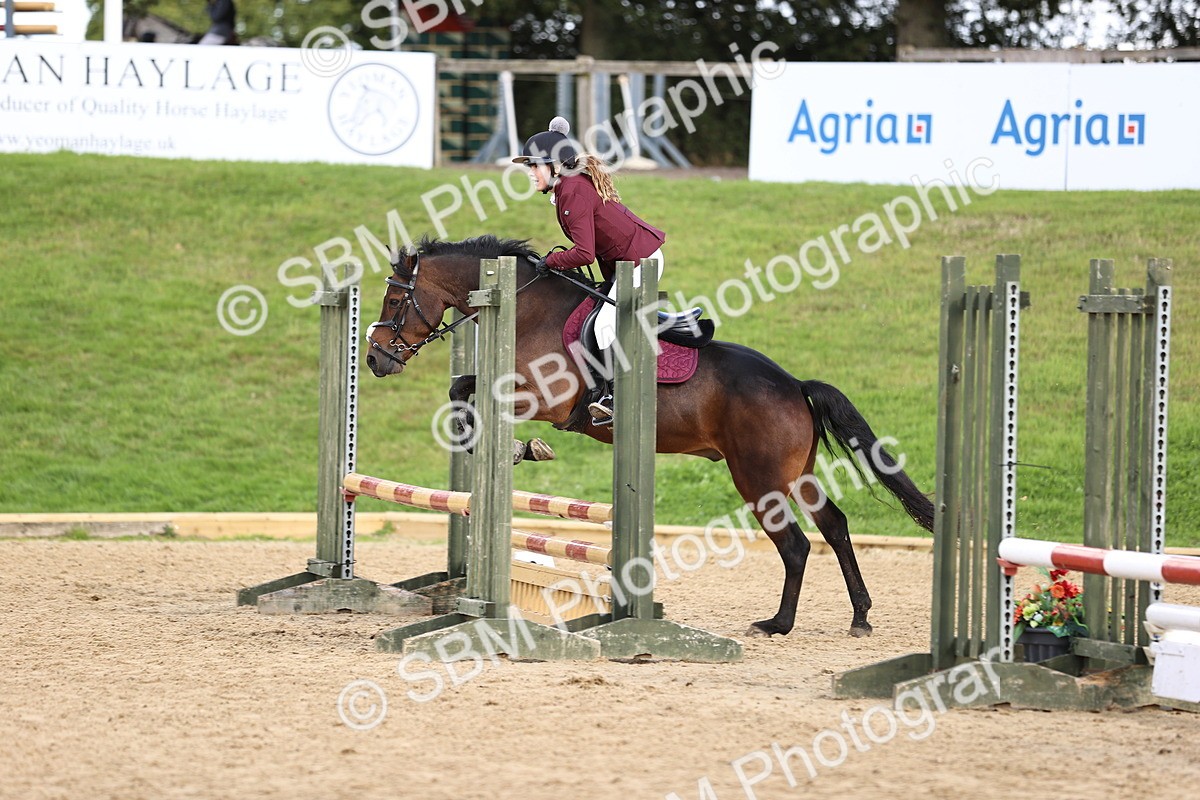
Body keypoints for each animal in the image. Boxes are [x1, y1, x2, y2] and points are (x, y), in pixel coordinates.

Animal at [364, 235, 934, 638]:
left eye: (393, 298)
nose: (373, 359)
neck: (527, 309)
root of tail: (795, 385)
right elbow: (462, 386)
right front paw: (500, 444)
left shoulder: (547, 401)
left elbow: (472, 395)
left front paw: (520, 447)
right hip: (799, 475)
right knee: (835, 527)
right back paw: (859, 615)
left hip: (760, 480)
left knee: (795, 546)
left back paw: (779, 624)